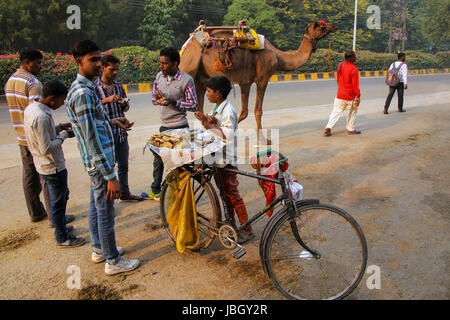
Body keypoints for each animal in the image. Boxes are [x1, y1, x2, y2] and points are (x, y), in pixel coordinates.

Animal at [179, 20, 338, 143]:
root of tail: (187, 45)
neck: (278, 57)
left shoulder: (245, 81)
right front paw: (263, 140)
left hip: (200, 78)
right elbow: (258, 111)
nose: (334, 26)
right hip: (188, 67)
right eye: (322, 26)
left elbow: (244, 112)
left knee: (198, 108)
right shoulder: (263, 78)